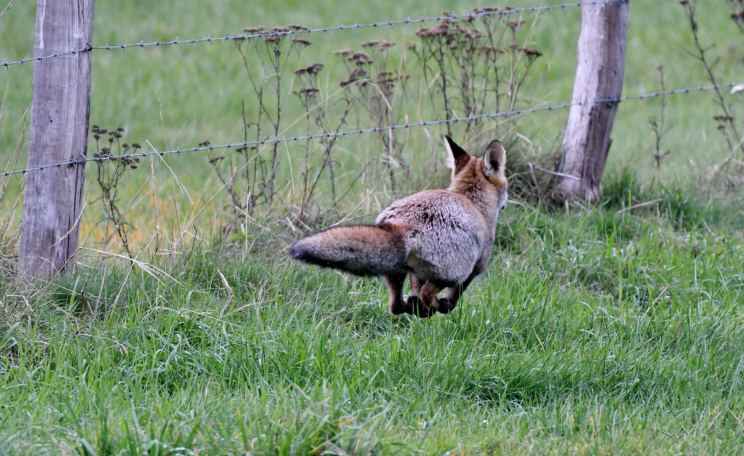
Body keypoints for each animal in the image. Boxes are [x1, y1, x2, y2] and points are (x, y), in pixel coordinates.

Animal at [288, 135, 508, 318]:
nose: (505, 203)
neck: (471, 200)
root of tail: (403, 225)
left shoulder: (417, 272)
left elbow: (414, 290)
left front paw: (419, 306)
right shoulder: (476, 267)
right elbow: (453, 298)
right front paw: (443, 305)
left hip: (394, 271)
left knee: (395, 305)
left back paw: (416, 308)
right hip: (452, 274)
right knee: (426, 293)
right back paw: (431, 307)